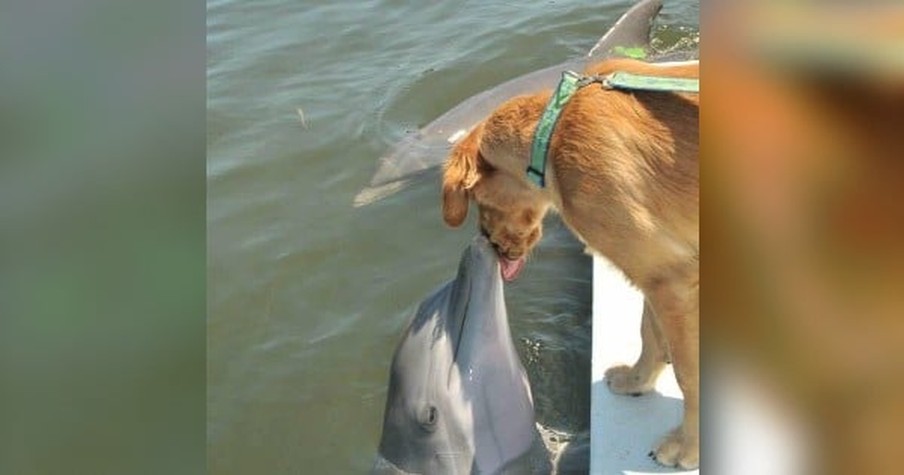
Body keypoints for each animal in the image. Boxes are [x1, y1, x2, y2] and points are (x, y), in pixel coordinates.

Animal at [438, 57, 700, 470]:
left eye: (479, 200)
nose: (491, 244)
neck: (554, 133)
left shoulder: (672, 281)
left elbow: (689, 374)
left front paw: (688, 447)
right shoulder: (659, 271)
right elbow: (650, 333)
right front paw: (636, 382)